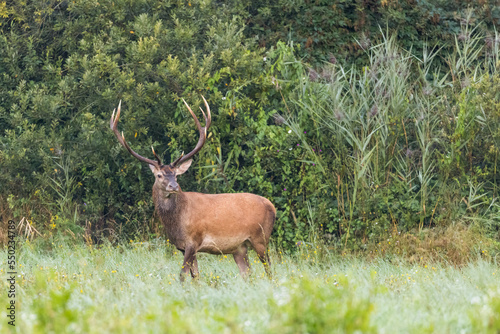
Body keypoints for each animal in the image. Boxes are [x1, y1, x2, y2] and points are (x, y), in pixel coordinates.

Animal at [110, 97, 276, 282]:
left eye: (176, 175)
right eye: (159, 175)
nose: (174, 186)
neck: (177, 222)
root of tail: (272, 206)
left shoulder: (194, 240)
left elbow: (182, 275)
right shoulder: (183, 247)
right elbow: (195, 276)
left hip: (261, 238)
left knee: (269, 268)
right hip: (239, 247)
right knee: (247, 273)